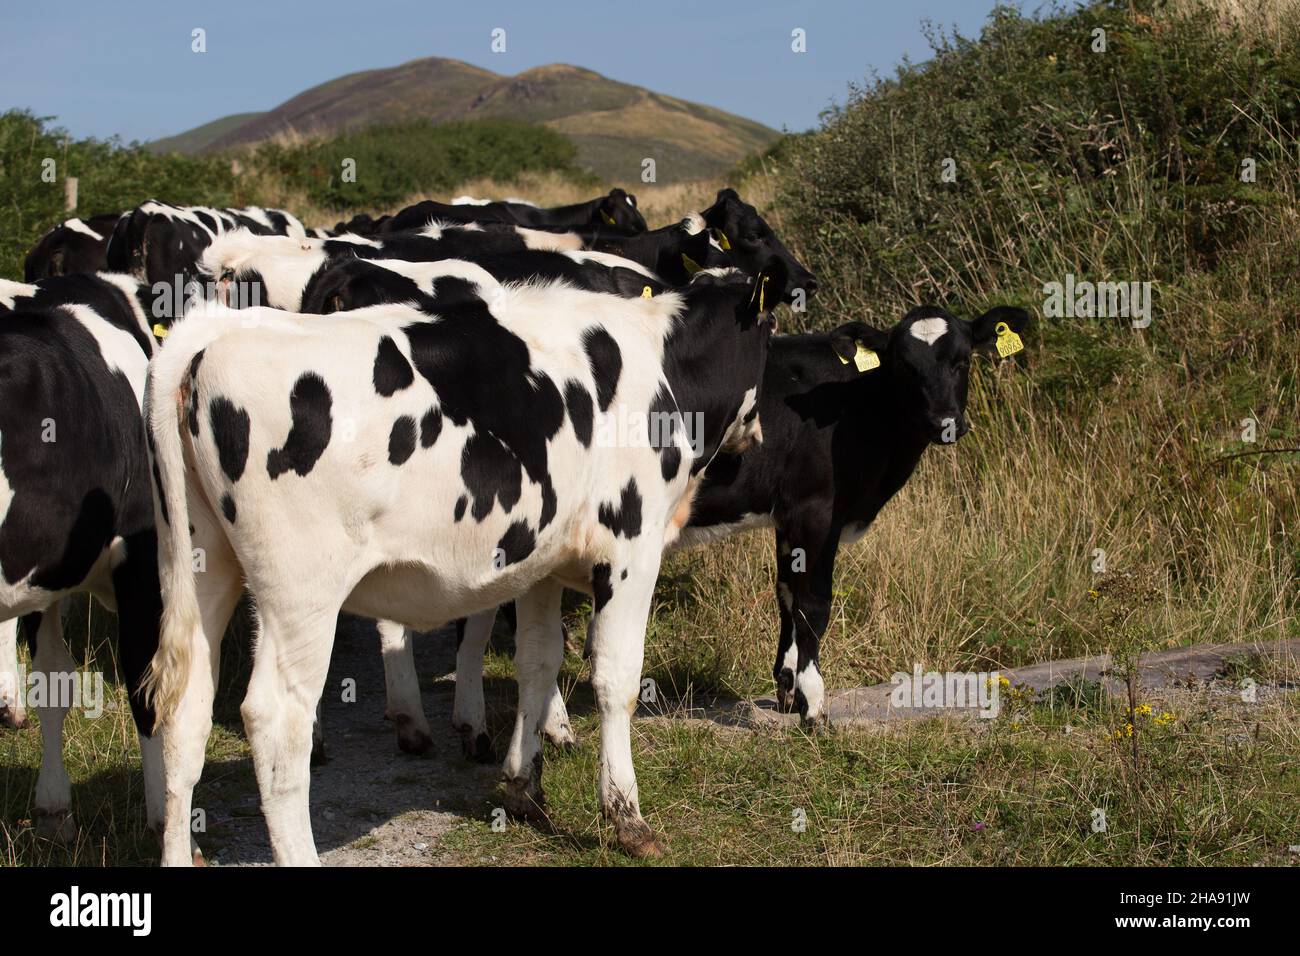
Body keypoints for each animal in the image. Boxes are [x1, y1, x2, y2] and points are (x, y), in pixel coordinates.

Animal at [0, 273, 167, 842]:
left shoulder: (44, 577)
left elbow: (53, 681)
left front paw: (54, 808)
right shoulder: (143, 561)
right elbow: (146, 683)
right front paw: (169, 820)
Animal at [147, 256, 785, 868]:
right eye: (773, 328)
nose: (759, 433)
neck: (660, 365)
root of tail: (217, 334)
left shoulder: (541, 563)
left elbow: (537, 663)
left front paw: (524, 789)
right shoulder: (631, 547)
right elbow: (616, 679)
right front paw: (627, 818)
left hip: (203, 567)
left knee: (184, 710)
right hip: (301, 590)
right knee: (276, 720)